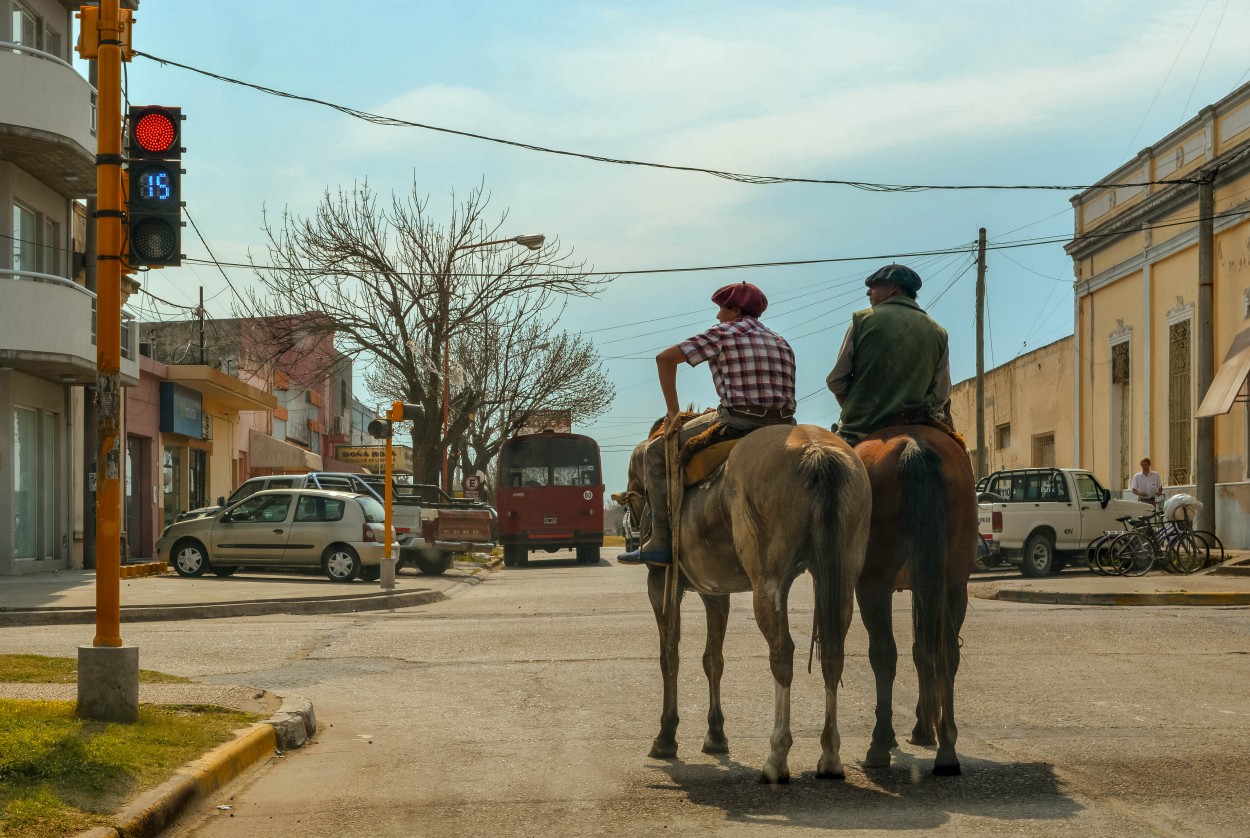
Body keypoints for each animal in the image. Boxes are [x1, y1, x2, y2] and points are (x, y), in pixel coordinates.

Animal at [622, 427, 875, 790]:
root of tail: (816, 453)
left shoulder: (660, 582)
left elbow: (669, 656)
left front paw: (666, 737)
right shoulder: (715, 591)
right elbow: (713, 660)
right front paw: (715, 735)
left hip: (768, 582)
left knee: (782, 653)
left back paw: (777, 757)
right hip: (842, 572)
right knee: (832, 652)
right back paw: (829, 756)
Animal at [855, 430, 980, 780]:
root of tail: (913, 446)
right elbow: (923, 649)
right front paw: (924, 729)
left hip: (872, 583)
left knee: (883, 655)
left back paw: (879, 745)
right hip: (953, 582)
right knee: (946, 652)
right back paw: (947, 747)